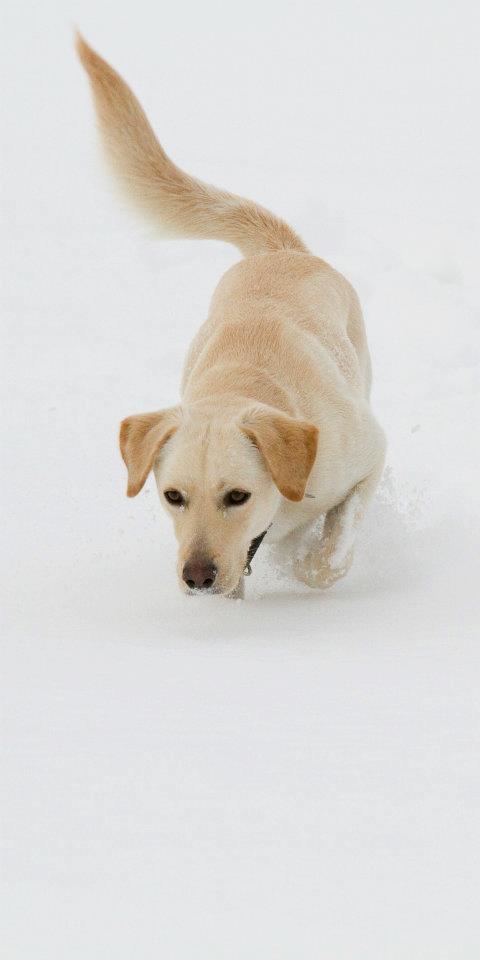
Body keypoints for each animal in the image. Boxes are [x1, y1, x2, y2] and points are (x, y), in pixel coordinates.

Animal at [78, 37, 386, 596]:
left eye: (237, 496)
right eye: (173, 496)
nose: (197, 578)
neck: (242, 387)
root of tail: (279, 251)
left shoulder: (368, 455)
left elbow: (330, 552)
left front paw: (311, 561)